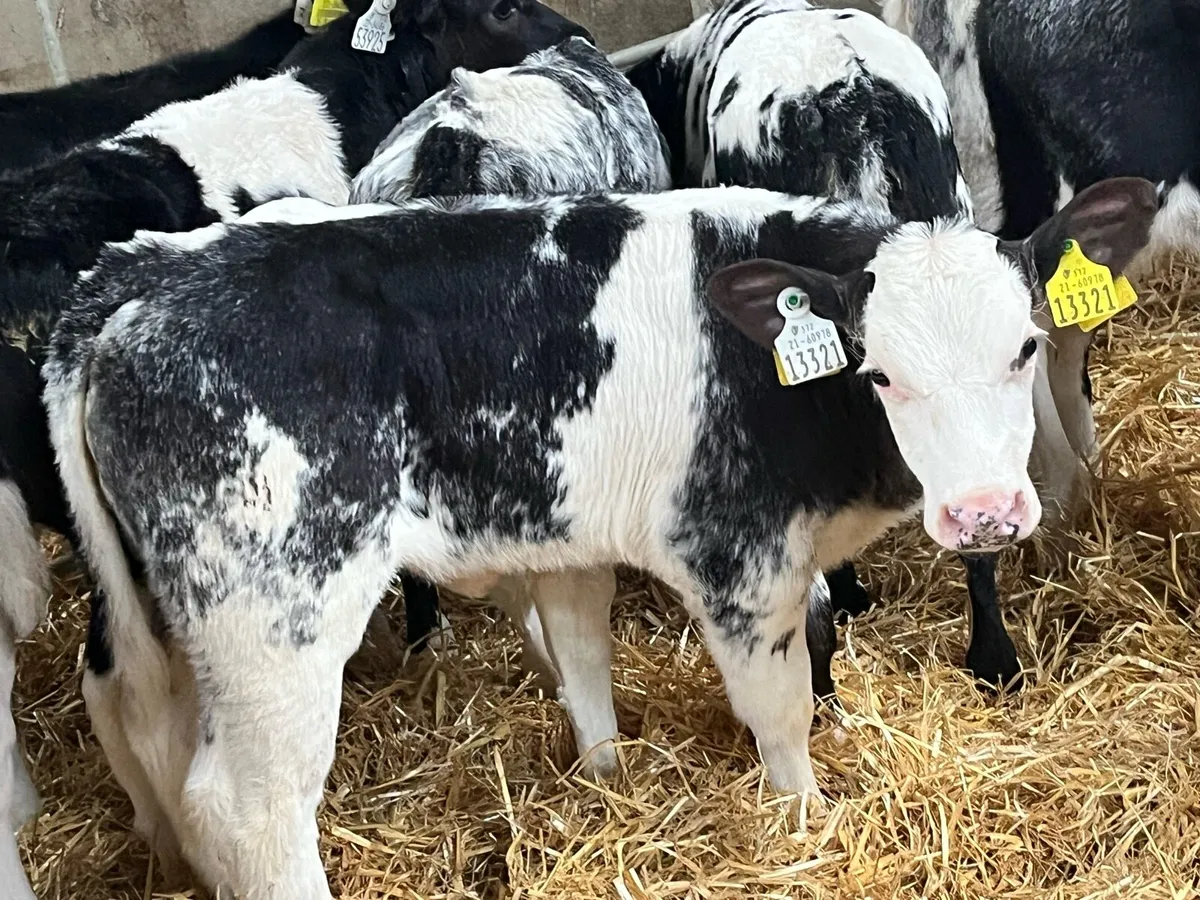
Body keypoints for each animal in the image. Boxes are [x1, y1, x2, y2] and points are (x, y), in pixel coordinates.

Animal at [43, 175, 1155, 898]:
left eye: (1025, 348)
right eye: (878, 372)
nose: (984, 514)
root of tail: (138, 280)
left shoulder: (569, 538)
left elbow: (583, 659)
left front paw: (607, 782)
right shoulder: (737, 555)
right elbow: (782, 709)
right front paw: (802, 823)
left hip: (168, 607)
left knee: (135, 717)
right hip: (276, 611)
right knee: (249, 808)